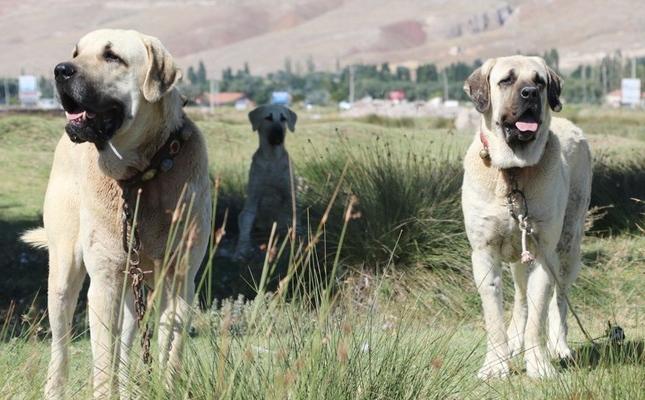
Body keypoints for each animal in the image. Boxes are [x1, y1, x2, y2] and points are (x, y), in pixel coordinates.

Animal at [20, 29, 210, 398]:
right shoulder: (104, 283)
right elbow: (102, 362)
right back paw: (55, 387)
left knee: (127, 341)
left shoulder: (180, 279)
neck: (141, 175)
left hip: (132, 292)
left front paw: (165, 387)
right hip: (64, 274)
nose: (61, 70)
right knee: (61, 345)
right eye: (76, 53)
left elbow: (170, 351)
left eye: (112, 57)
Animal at [234, 104, 300, 260]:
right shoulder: (253, 198)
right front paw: (241, 249)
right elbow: (246, 221)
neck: (272, 159)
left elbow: (287, 218)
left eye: (283, 118)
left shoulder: (288, 195)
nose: (279, 133)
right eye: (268, 118)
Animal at [460, 55, 592, 378]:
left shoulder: (543, 253)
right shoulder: (484, 253)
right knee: (520, 299)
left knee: (559, 299)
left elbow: (538, 313)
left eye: (540, 81)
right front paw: (495, 365)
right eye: (506, 80)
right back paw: (513, 344)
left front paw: (539, 365)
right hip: (519, 257)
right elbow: (494, 317)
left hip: (567, 247)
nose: (530, 93)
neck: (513, 172)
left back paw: (560, 347)